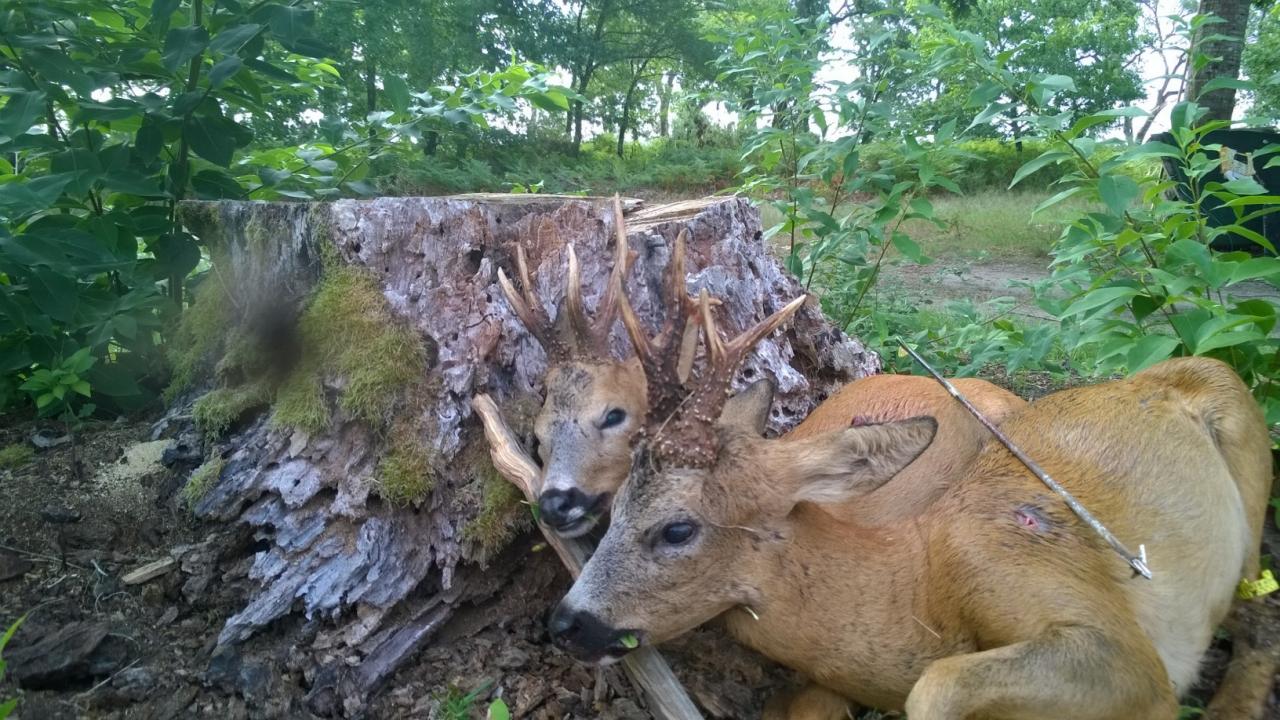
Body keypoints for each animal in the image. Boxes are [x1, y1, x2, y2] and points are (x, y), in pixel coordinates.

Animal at [550, 289, 1269, 717]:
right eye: (614, 510)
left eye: (677, 529)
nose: (564, 625)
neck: (915, 589)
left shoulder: (1111, 642)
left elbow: (938, 686)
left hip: (1243, 434)